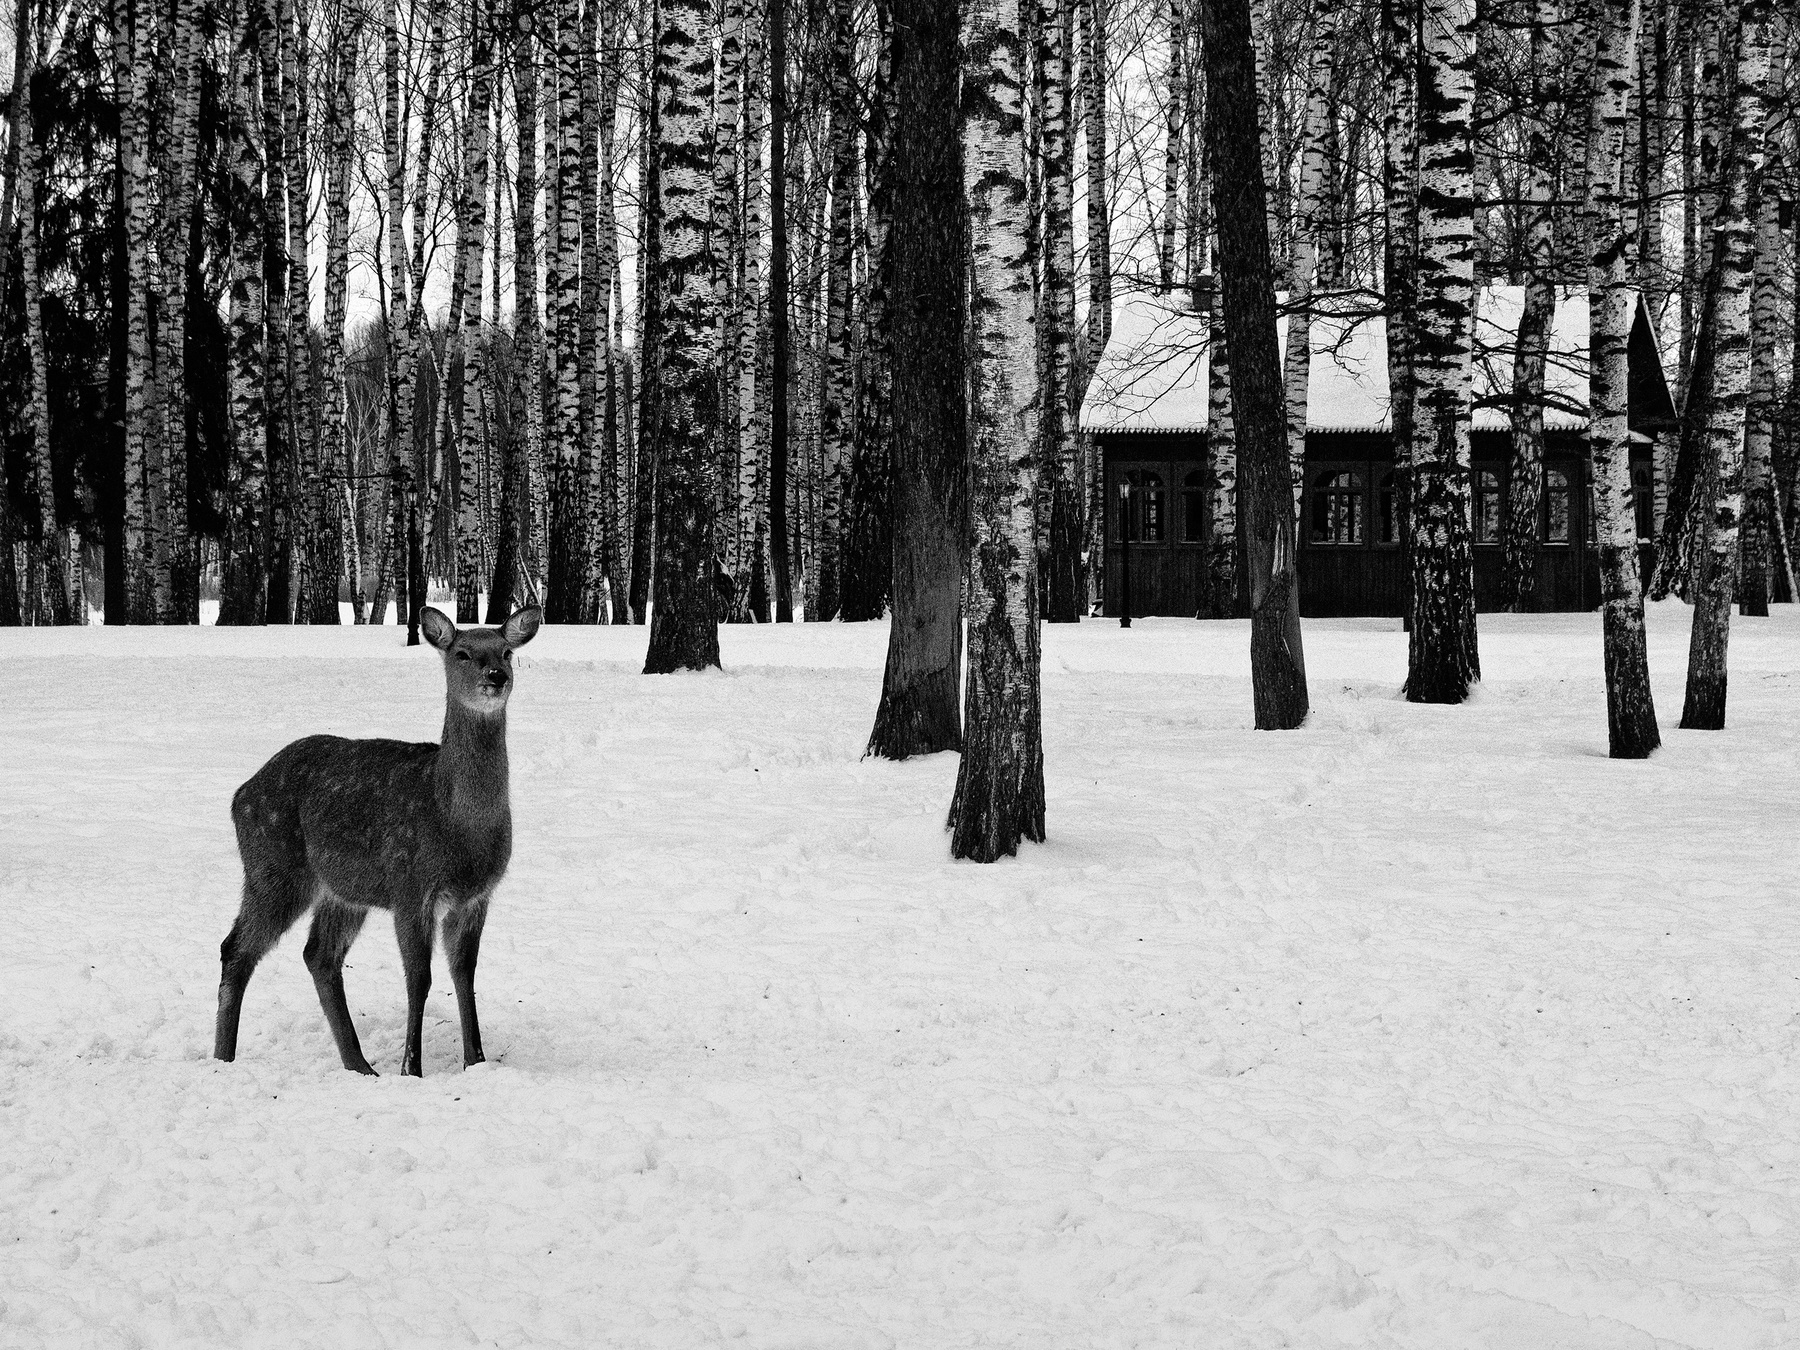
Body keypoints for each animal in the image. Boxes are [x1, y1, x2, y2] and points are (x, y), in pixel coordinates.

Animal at [213, 605, 541, 1077]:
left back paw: (360, 1066)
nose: (496, 675)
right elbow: (419, 978)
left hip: (342, 890)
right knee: (236, 948)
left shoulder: (476, 896)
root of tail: (240, 794)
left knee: (319, 955)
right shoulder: (410, 887)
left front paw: (476, 1062)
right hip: (272, 865)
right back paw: (223, 1058)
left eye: (506, 651)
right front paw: (412, 1069)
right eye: (462, 653)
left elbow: (465, 974)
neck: (459, 825)